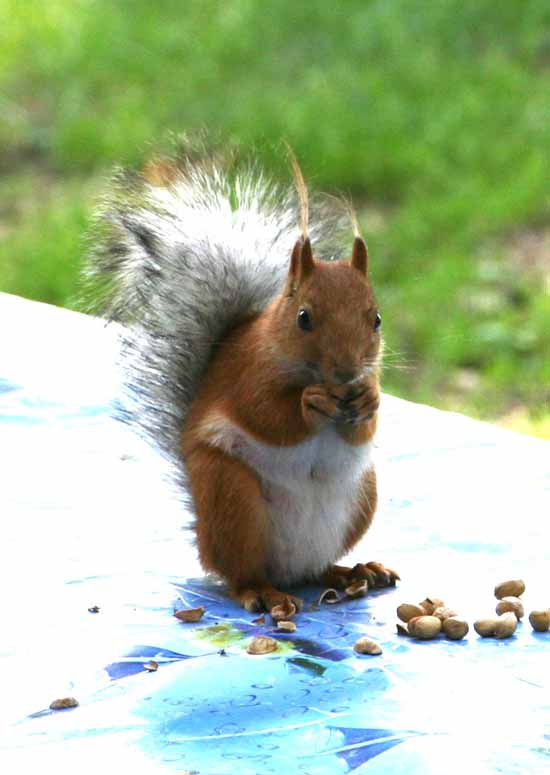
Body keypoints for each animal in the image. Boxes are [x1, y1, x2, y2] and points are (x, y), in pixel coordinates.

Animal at [88, 145, 399, 616]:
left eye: (376, 319)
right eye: (304, 318)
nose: (347, 372)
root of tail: (288, 569)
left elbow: (363, 429)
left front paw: (369, 400)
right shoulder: (246, 374)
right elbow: (266, 415)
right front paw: (309, 403)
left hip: (362, 496)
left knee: (317, 569)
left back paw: (353, 572)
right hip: (231, 496)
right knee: (240, 574)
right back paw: (263, 593)